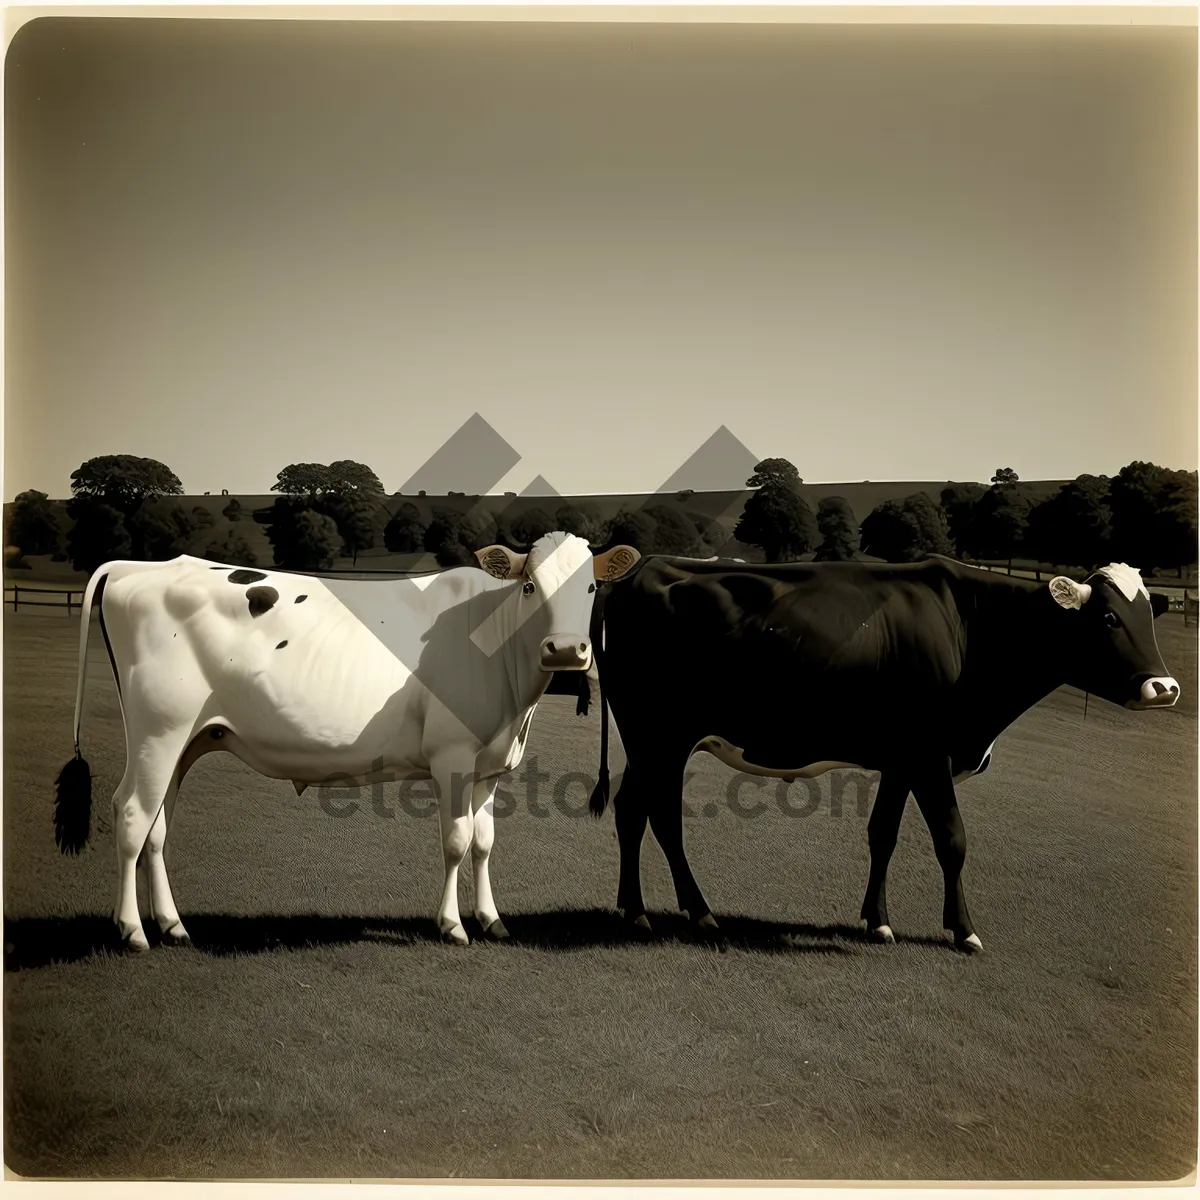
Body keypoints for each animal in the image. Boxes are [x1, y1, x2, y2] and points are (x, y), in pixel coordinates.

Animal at [58, 535, 638, 945]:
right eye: (530, 586)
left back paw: (171, 924)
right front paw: (452, 925)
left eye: (590, 588)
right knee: (132, 813)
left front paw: (491, 919)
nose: (565, 649)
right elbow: (455, 841)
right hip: (158, 731)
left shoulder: (489, 766)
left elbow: (484, 842)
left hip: (182, 742)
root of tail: (140, 566)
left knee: (157, 828)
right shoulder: (451, 755)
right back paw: (132, 930)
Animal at [585, 554, 1176, 955]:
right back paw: (698, 914)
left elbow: (882, 834)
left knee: (632, 811)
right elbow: (952, 840)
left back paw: (636, 911)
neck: (969, 627)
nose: (1165, 688)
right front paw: (964, 931)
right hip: (662, 736)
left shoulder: (902, 759)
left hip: (647, 741)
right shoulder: (930, 756)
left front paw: (878, 920)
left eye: (1149, 618)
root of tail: (639, 570)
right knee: (661, 817)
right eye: (1108, 620)